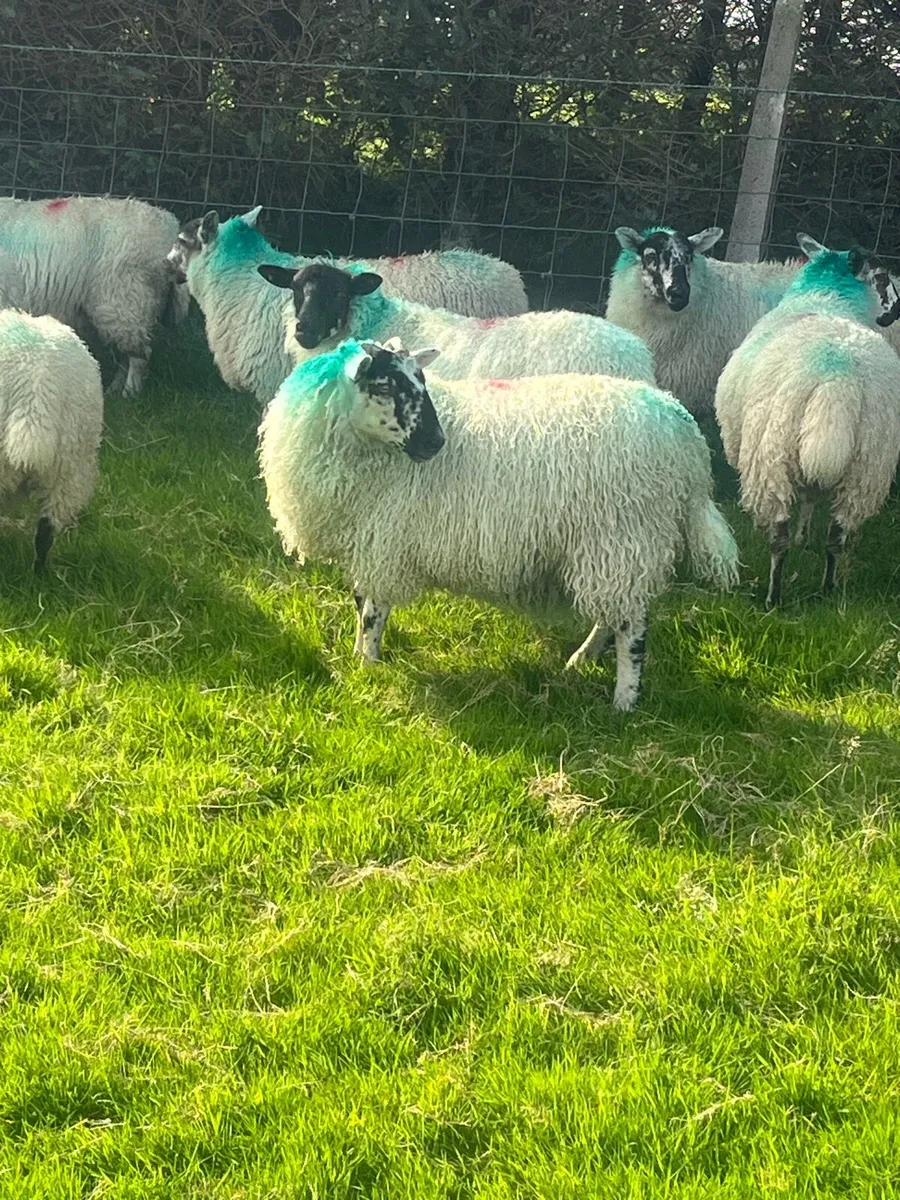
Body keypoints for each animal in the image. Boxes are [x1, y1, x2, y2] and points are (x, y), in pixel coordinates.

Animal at [0, 195, 190, 396]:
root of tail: (168, 224)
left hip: (126, 298)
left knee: (140, 355)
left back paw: (130, 391)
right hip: (126, 308)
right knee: (127, 353)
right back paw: (114, 390)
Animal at [258, 337, 738, 711]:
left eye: (422, 382)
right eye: (384, 384)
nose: (436, 442)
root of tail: (684, 433)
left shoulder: (386, 542)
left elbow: (373, 612)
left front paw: (368, 665)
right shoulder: (367, 539)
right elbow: (362, 604)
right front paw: (360, 657)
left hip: (623, 535)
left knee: (632, 628)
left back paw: (624, 700)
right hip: (608, 549)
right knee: (613, 614)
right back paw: (582, 660)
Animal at [714, 234, 900, 608]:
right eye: (882, 278)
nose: (896, 313)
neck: (826, 297)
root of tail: (838, 378)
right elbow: (813, 496)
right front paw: (805, 537)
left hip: (770, 455)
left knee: (778, 537)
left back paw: (773, 598)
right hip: (867, 466)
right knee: (837, 534)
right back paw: (828, 590)